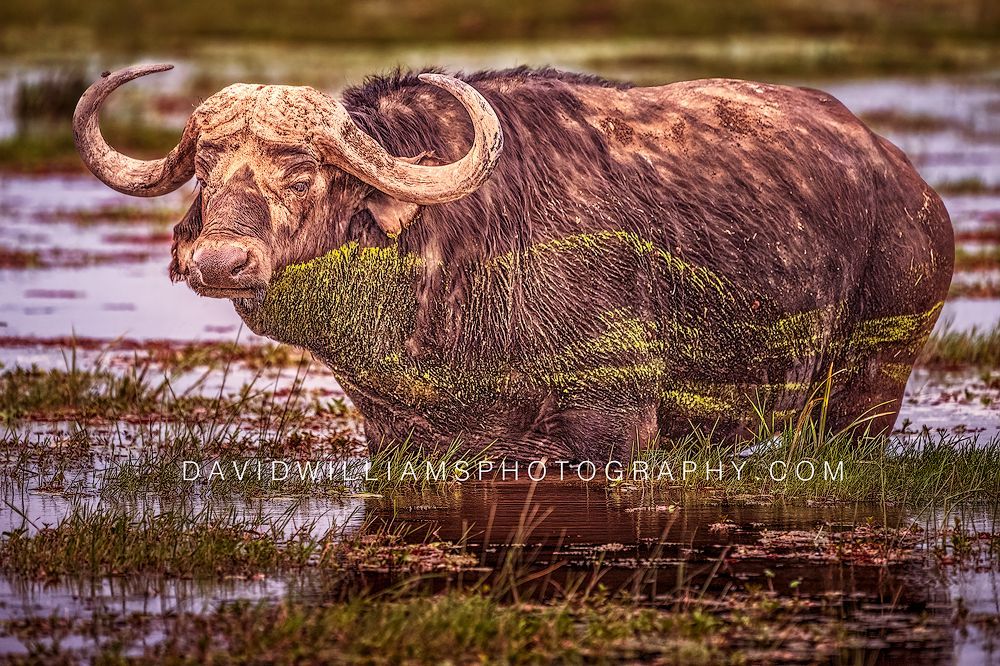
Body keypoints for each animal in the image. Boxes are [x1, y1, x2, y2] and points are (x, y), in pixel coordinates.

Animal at [74, 64, 953, 460]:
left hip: (873, 382)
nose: (221, 261)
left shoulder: (615, 420)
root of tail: (907, 183)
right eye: (208, 165)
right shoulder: (400, 434)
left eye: (301, 170)